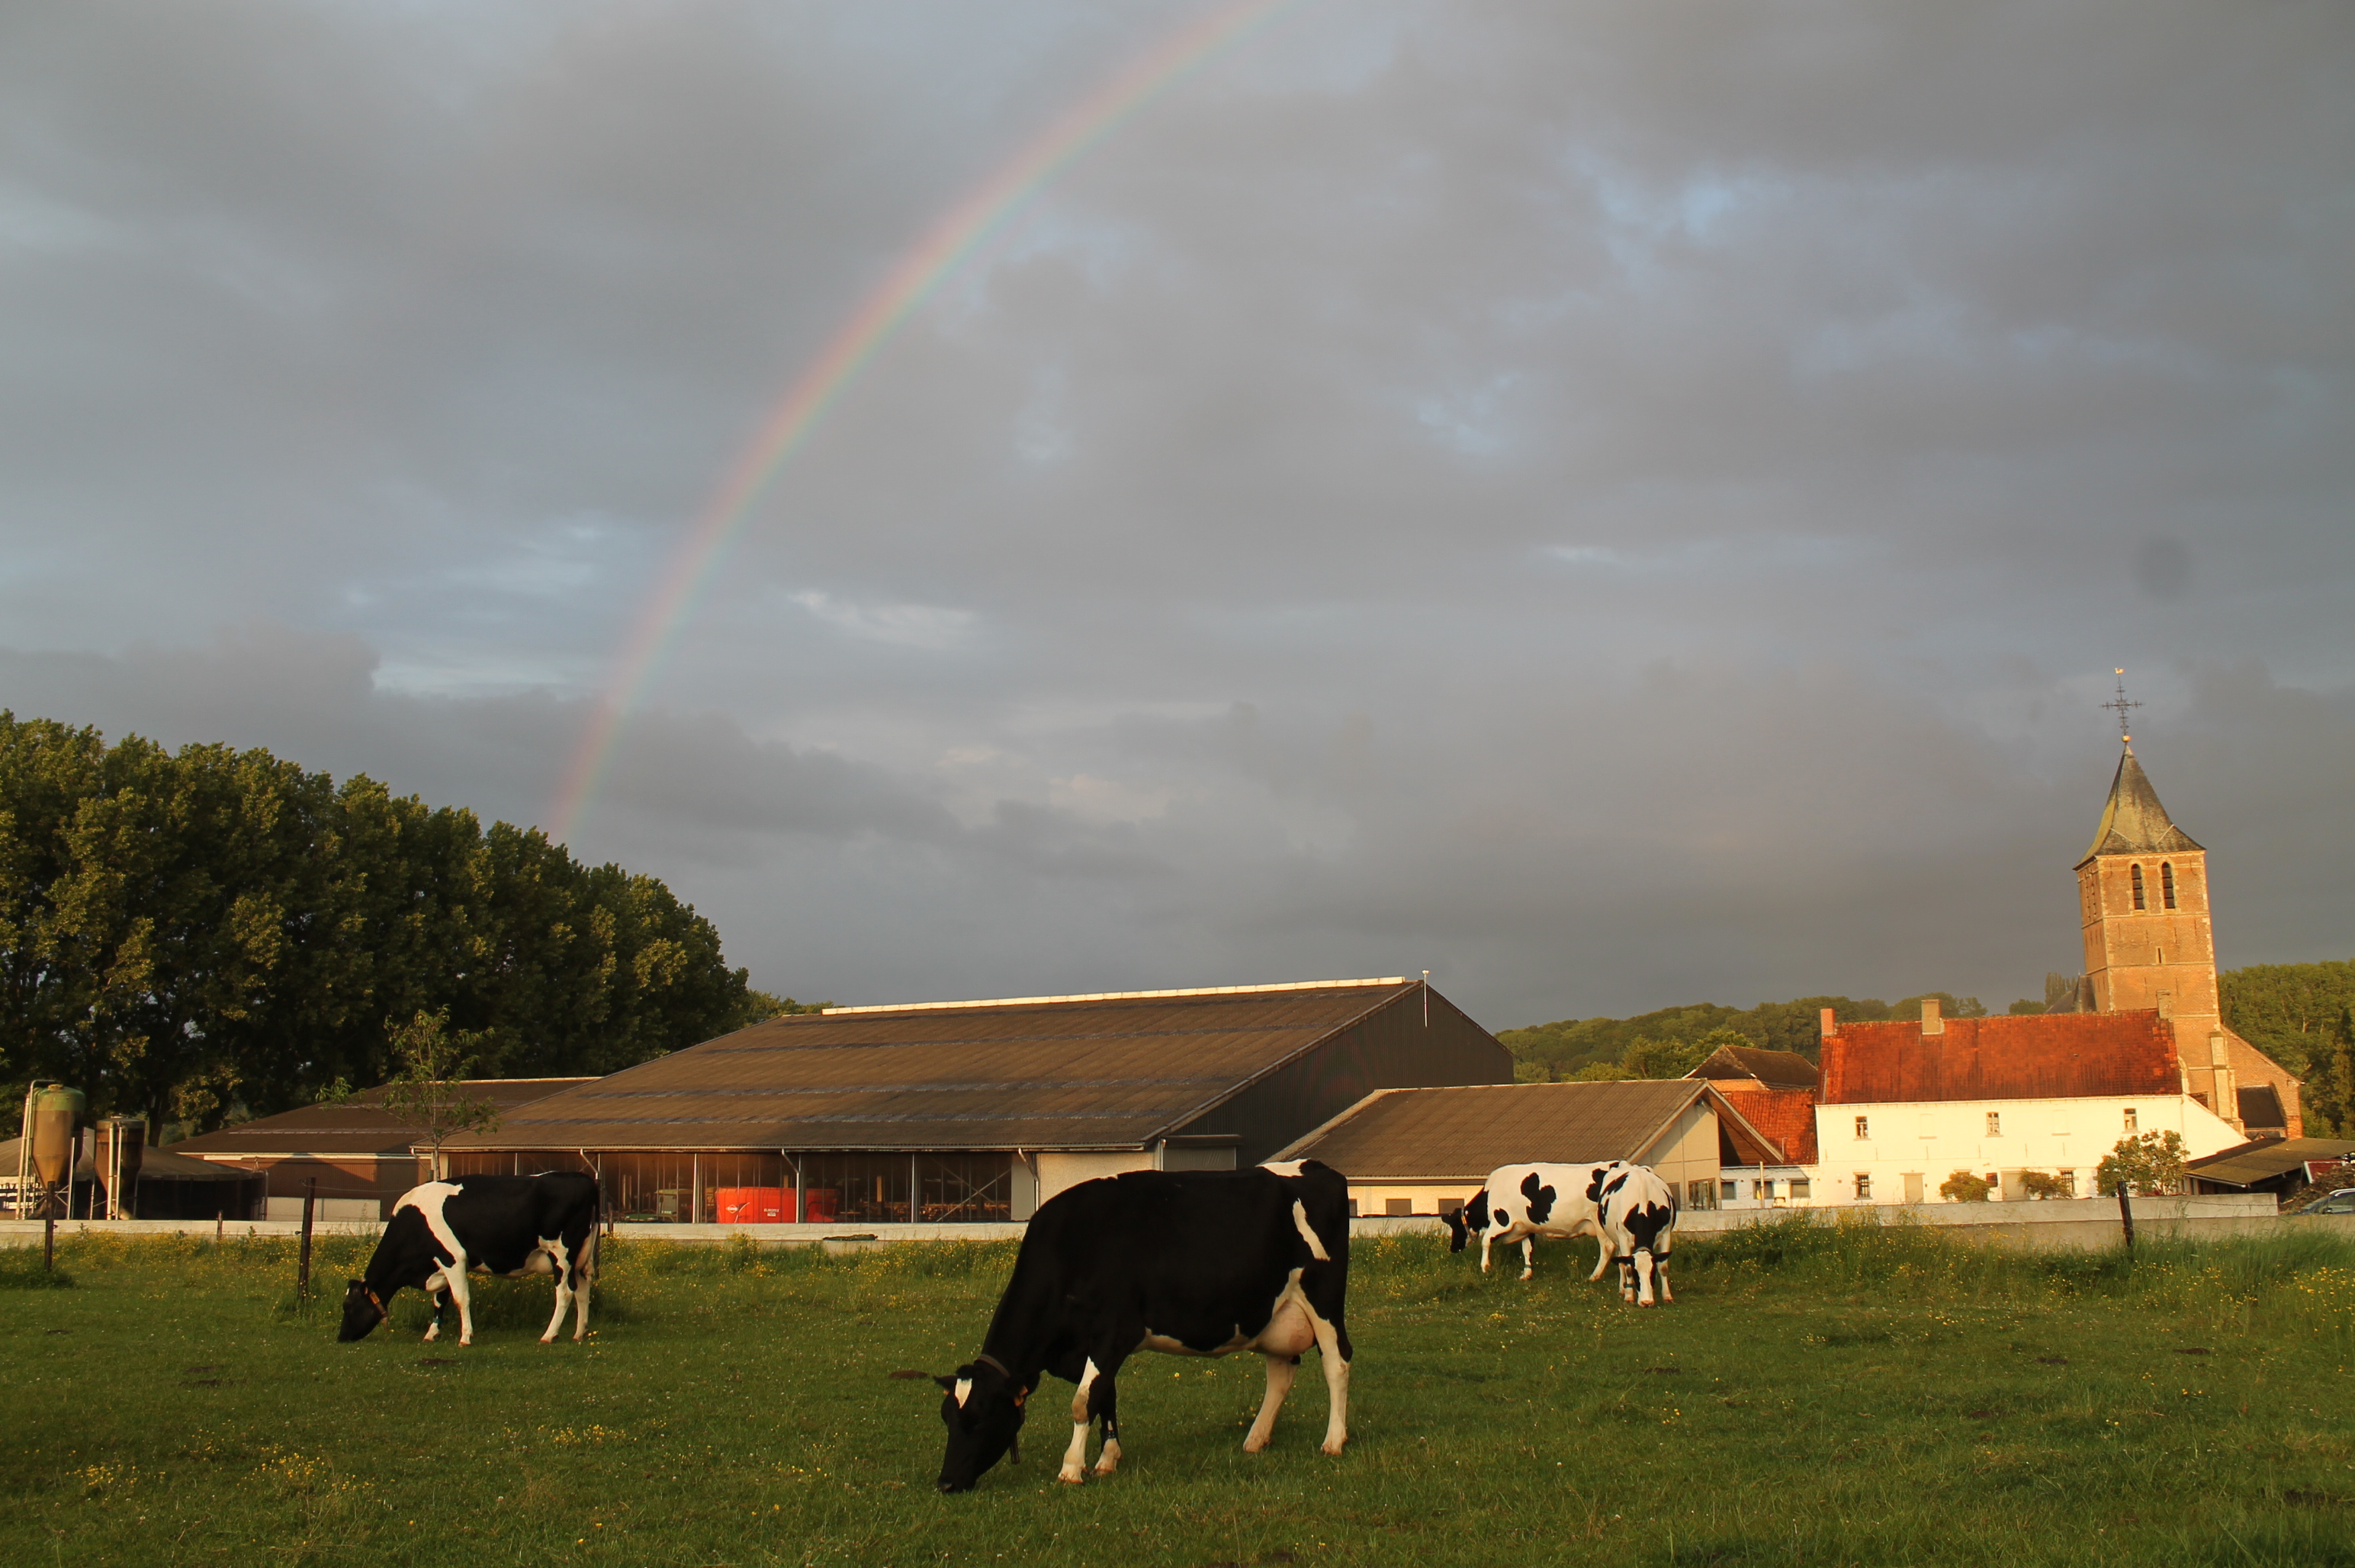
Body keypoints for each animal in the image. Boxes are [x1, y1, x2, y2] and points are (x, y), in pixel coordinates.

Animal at [337, 1172, 600, 1347]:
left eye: (348, 1306)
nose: (341, 1338)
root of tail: (583, 1178)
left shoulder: (453, 1259)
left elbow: (460, 1298)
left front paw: (465, 1337)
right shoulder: (439, 1264)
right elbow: (439, 1300)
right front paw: (432, 1333)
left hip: (561, 1253)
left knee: (565, 1292)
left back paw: (549, 1335)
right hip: (579, 1258)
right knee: (582, 1290)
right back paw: (579, 1334)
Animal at [928, 1159, 1354, 1494]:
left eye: (979, 1418)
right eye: (946, 1417)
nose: (946, 1483)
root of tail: (1319, 1168)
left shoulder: (1114, 1332)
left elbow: (1084, 1402)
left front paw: (1071, 1468)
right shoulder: (1086, 1349)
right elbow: (1105, 1395)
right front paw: (1107, 1459)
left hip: (1323, 1299)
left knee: (1337, 1363)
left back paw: (1333, 1441)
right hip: (1274, 1313)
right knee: (1281, 1372)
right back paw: (1256, 1439)